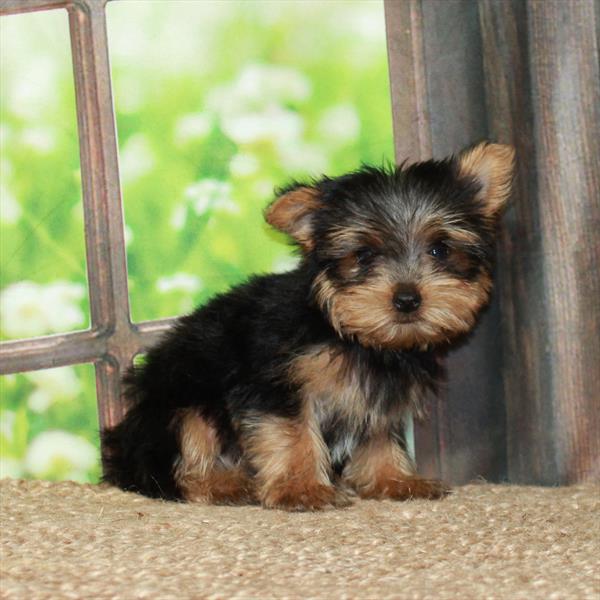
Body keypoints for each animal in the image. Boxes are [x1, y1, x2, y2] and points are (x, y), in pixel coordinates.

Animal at [101, 141, 512, 510]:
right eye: (363, 255)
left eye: (440, 249)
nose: (408, 299)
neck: (350, 336)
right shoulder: (275, 382)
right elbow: (291, 433)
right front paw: (302, 489)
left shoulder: (378, 395)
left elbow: (379, 435)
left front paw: (393, 479)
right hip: (180, 399)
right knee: (173, 465)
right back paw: (224, 483)